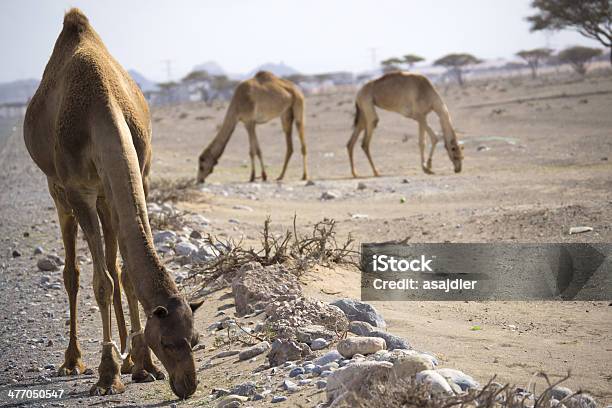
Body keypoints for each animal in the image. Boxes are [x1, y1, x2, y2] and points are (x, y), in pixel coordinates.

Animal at [23, 8, 203, 398]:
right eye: (168, 343)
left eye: (195, 339)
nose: (187, 385)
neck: (101, 110)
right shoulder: (79, 190)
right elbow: (101, 282)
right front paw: (108, 373)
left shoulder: (140, 175)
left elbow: (126, 274)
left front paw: (143, 365)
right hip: (59, 190)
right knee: (73, 272)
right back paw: (73, 361)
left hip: (107, 194)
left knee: (111, 258)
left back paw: (129, 359)